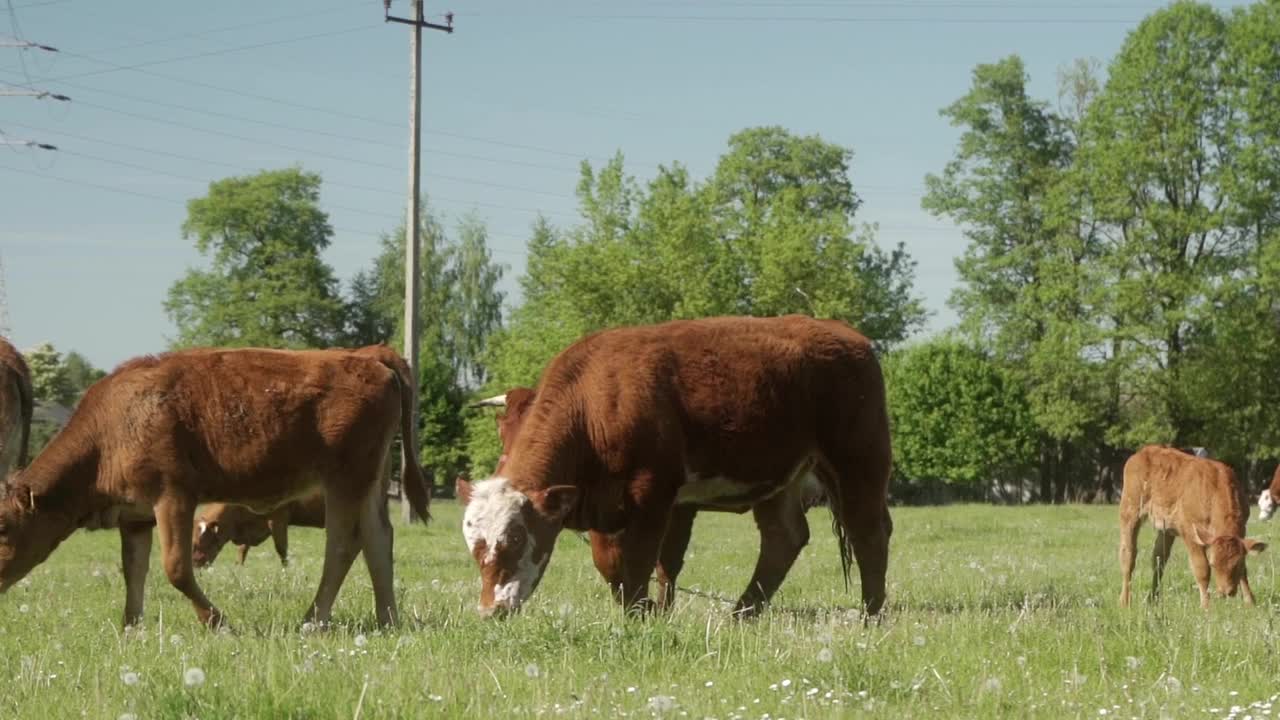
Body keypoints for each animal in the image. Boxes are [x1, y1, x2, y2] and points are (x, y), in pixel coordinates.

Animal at [193, 489, 327, 568]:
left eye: (195, 544)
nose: (195, 567)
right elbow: (242, 551)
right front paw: (238, 569)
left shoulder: (278, 518)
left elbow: (281, 549)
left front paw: (286, 570)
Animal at [458, 313, 890, 617]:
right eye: (474, 545)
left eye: (516, 538)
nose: (490, 611)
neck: (595, 405)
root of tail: (844, 333)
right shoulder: (604, 505)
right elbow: (612, 563)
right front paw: (648, 610)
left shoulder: (654, 495)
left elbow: (641, 561)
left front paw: (640, 616)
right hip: (782, 475)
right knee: (784, 537)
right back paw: (742, 614)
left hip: (859, 461)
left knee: (870, 533)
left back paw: (870, 615)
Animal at [1116, 443, 1264, 604]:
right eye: (1213, 563)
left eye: (1237, 564)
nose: (1226, 592)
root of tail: (1145, 451)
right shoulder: (1190, 533)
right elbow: (1202, 569)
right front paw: (1206, 605)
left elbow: (1244, 571)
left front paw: (1250, 601)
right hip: (1129, 511)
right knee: (1128, 556)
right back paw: (1125, 601)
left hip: (1165, 528)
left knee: (1158, 559)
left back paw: (1153, 599)